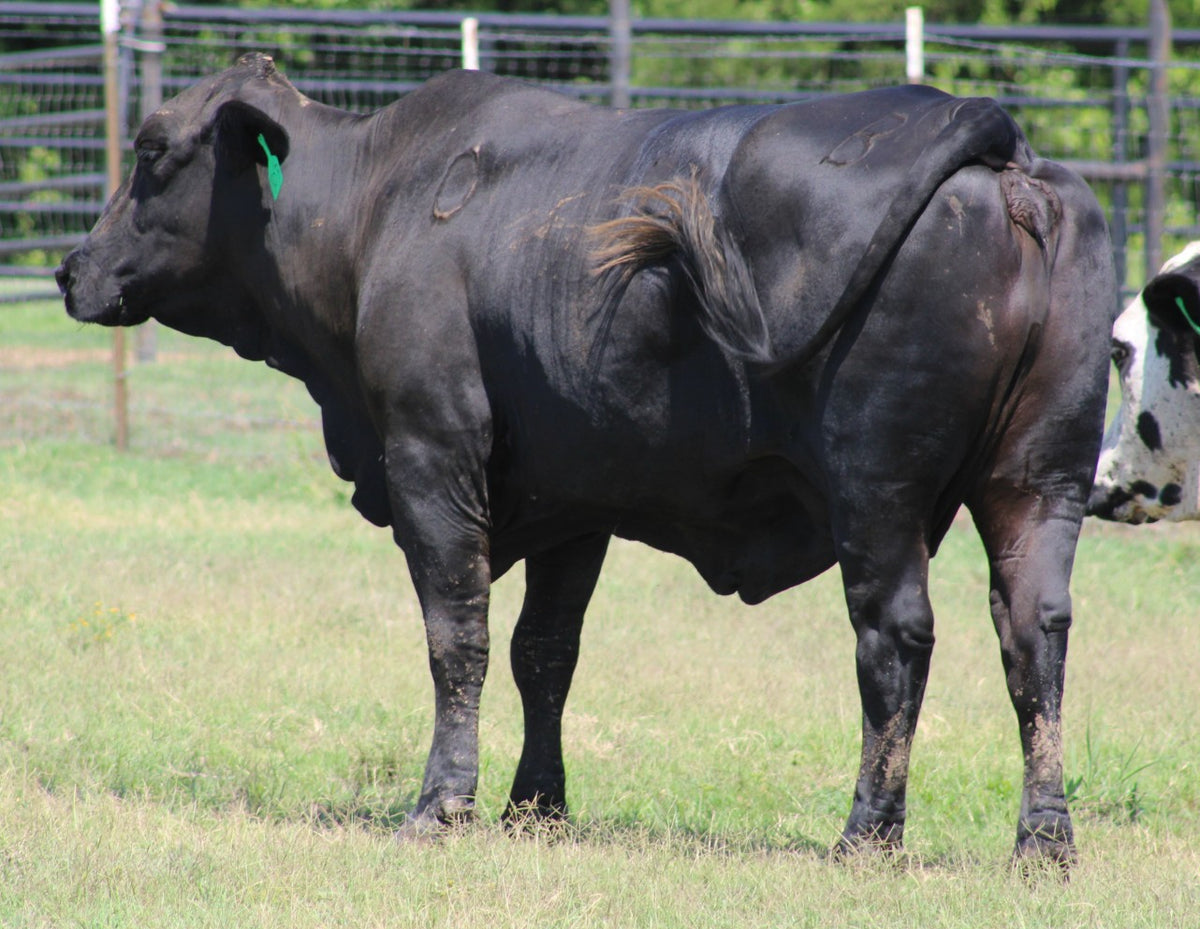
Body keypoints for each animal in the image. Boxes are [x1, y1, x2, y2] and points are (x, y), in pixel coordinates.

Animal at [57, 53, 1117, 868]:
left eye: (151, 152)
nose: (71, 269)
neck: (378, 207)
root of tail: (993, 142)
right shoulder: (576, 499)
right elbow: (545, 652)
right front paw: (537, 806)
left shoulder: (431, 457)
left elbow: (460, 639)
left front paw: (442, 804)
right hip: (1039, 480)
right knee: (1035, 635)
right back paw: (1043, 844)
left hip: (878, 491)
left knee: (895, 638)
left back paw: (867, 836)